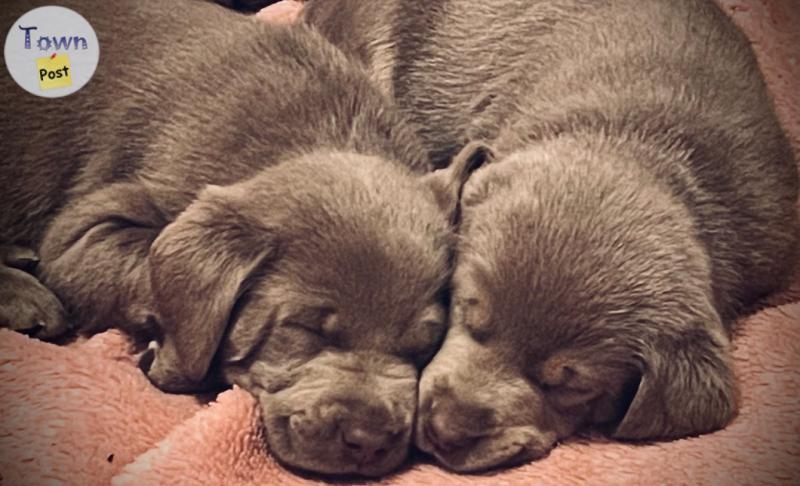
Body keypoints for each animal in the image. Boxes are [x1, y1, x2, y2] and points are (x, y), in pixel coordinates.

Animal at [0, 0, 484, 474]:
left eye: (425, 346)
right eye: (305, 329)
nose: (368, 441)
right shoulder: (80, 236)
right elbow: (149, 276)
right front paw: (177, 359)